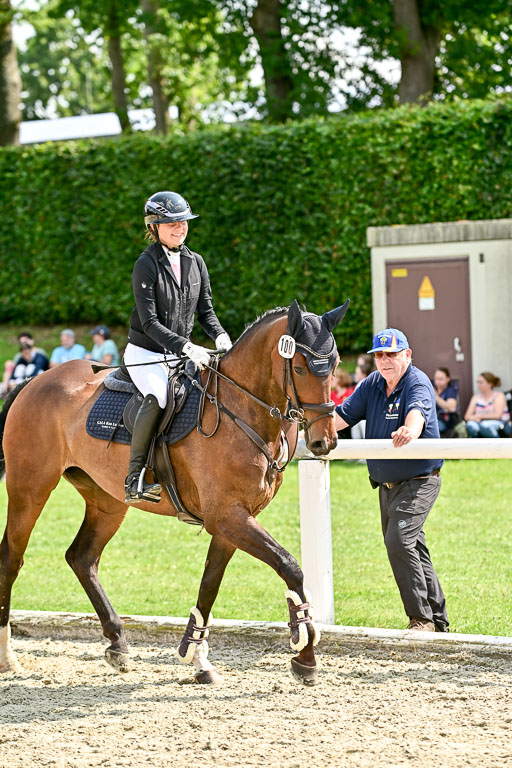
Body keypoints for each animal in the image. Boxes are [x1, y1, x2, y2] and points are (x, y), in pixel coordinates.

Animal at [0, 299, 349, 685]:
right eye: (299, 368)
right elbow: (291, 567)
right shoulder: (228, 517)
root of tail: (34, 381)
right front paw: (305, 650)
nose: (323, 442)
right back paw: (8, 657)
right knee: (11, 559)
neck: (242, 410)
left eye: (334, 365)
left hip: (107, 501)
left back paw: (118, 644)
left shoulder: (232, 521)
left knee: (82, 557)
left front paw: (199, 659)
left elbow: (209, 586)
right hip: (30, 489)